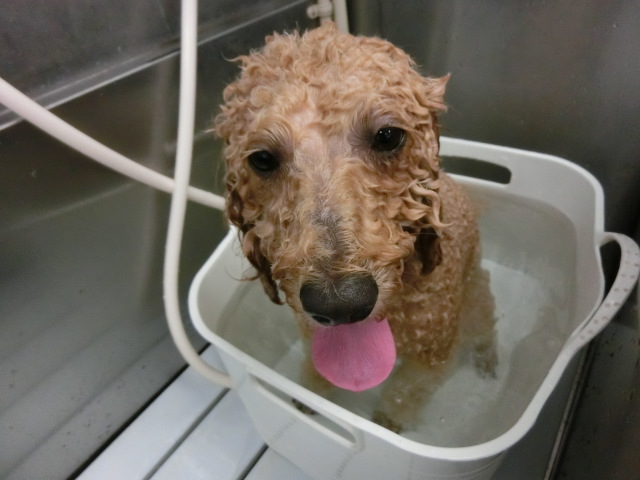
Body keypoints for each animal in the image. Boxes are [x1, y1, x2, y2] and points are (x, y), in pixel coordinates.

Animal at [215, 23, 496, 432]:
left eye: (388, 136)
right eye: (263, 158)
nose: (341, 304)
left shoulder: (433, 355)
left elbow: (404, 392)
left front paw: (389, 423)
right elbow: (317, 373)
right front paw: (307, 399)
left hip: (475, 302)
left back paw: (488, 357)